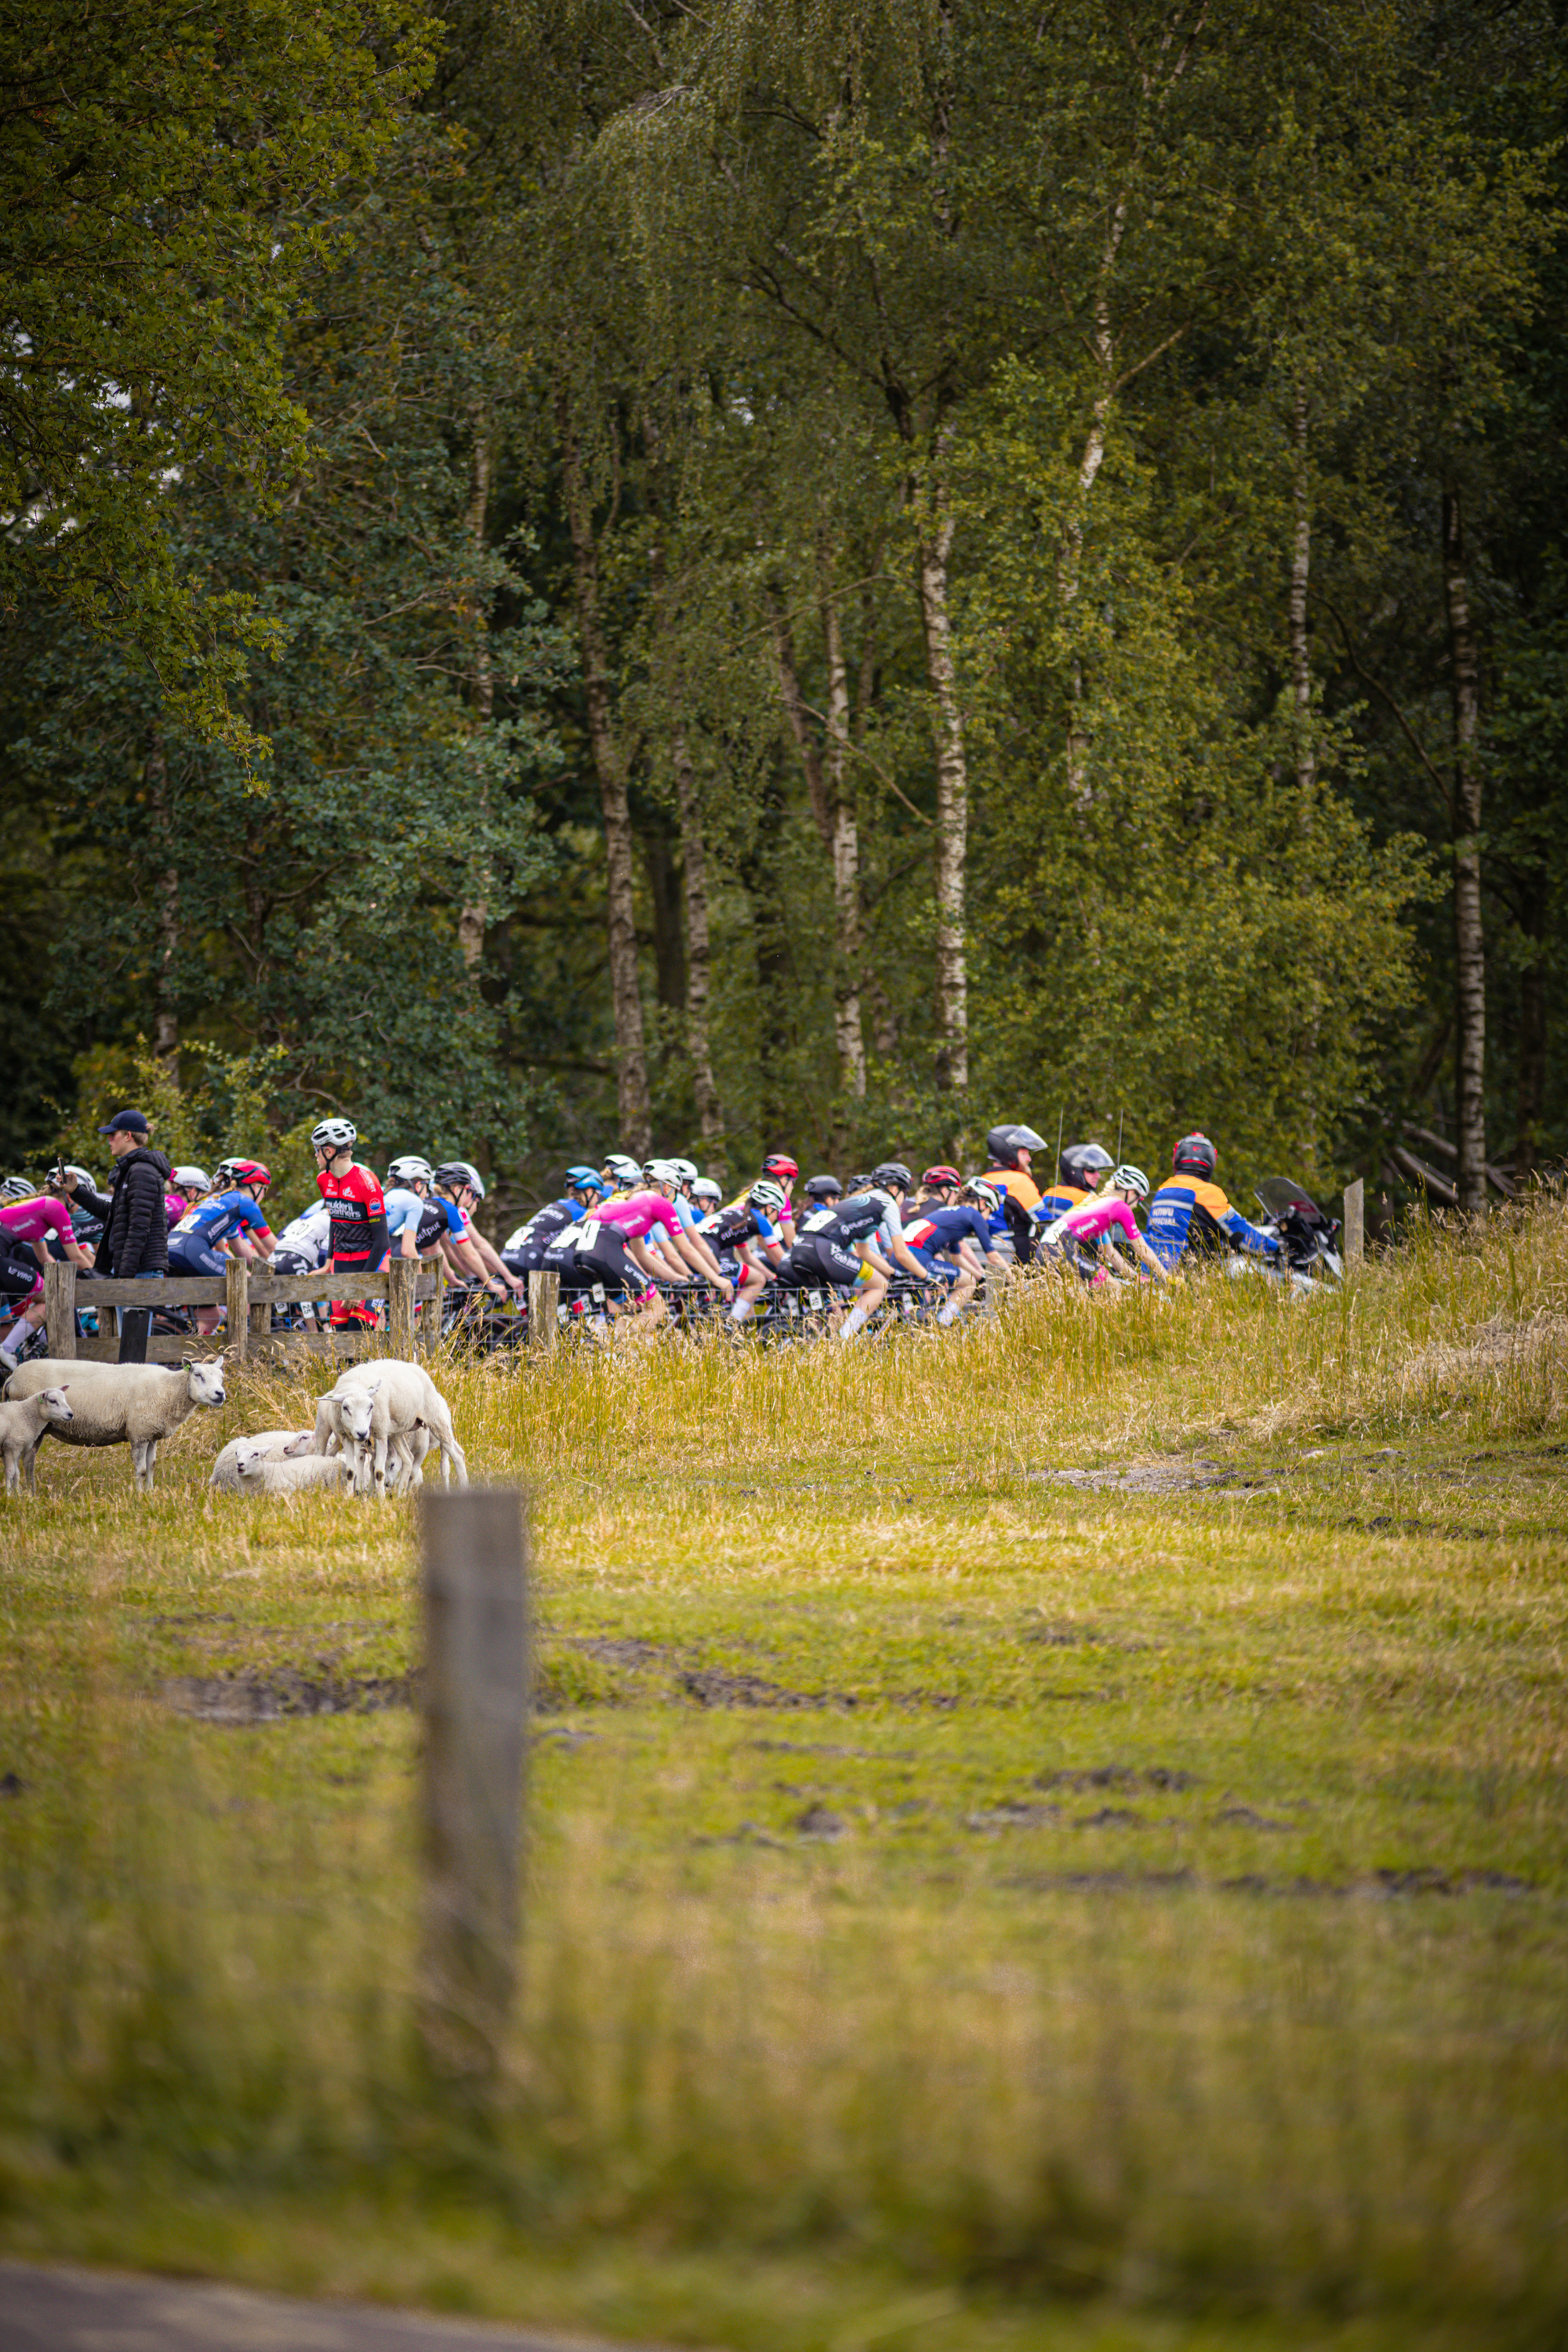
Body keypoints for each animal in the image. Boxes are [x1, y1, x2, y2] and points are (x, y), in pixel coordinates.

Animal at [0, 1383, 73, 1496]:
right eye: (53, 1401)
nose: (70, 1414)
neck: (25, 1415)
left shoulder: (13, 1449)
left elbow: (16, 1473)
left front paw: (17, 1495)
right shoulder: (12, 1446)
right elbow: (10, 1472)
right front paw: (8, 1496)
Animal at [312, 1355, 465, 1496]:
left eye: (371, 1406)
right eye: (345, 1407)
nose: (362, 1433)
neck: (356, 1384)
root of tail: (412, 1365)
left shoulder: (380, 1434)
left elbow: (379, 1472)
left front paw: (380, 1499)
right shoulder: (346, 1436)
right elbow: (350, 1472)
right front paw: (349, 1498)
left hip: (434, 1416)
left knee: (457, 1455)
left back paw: (464, 1485)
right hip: (393, 1432)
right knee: (408, 1458)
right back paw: (400, 1495)